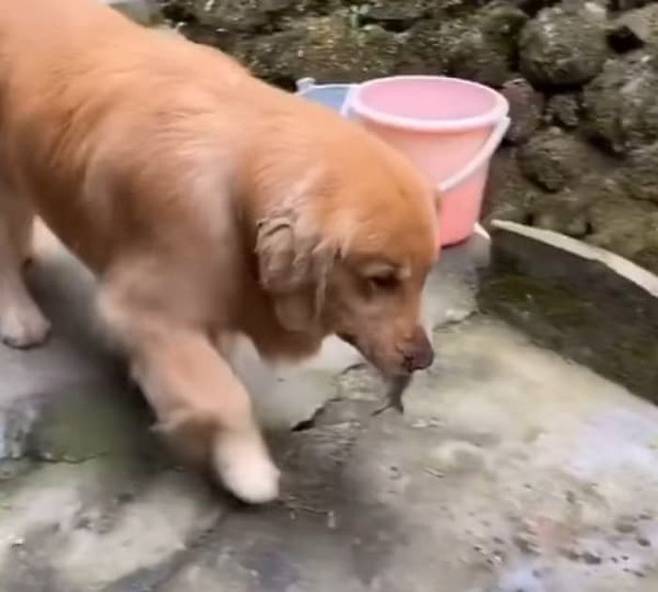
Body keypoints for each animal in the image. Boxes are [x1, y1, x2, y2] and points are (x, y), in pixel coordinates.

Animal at [0, 0, 439, 503]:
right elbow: (223, 392)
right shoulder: (144, 308)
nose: (424, 358)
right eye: (381, 280)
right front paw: (245, 466)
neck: (239, 178)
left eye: (426, 275)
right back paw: (20, 318)